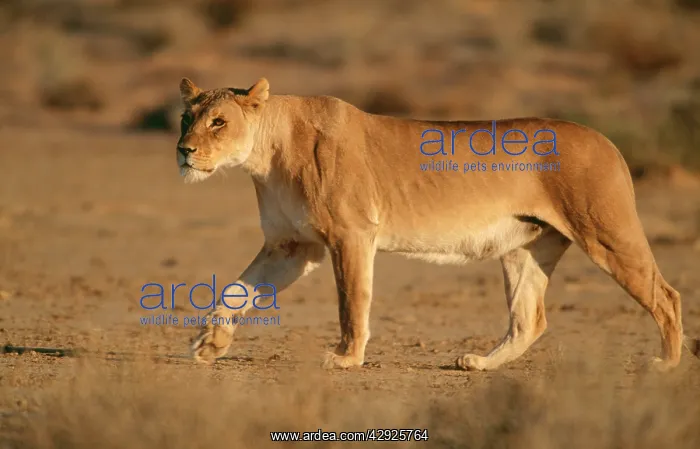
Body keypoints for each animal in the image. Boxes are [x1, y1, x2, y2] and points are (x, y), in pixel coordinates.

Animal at [176, 77, 700, 371]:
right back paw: (481, 364)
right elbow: (236, 291)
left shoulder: (351, 234)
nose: (182, 150)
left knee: (666, 296)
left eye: (219, 122)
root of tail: (606, 140)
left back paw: (667, 363)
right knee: (530, 319)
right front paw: (210, 344)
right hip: (525, 247)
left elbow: (352, 301)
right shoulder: (292, 245)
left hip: (606, 233)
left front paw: (346, 358)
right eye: (186, 118)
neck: (265, 155)